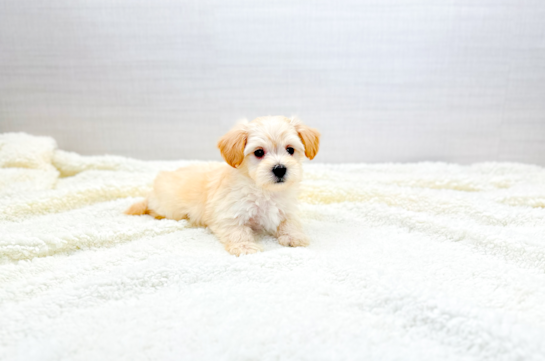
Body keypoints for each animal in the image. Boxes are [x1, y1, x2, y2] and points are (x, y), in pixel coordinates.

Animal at [124, 114, 318, 255]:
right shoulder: (228, 214)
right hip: (169, 208)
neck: (263, 190)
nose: (280, 169)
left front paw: (294, 237)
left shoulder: (286, 209)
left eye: (290, 150)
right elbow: (237, 231)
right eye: (259, 152)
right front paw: (244, 247)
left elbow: (290, 223)